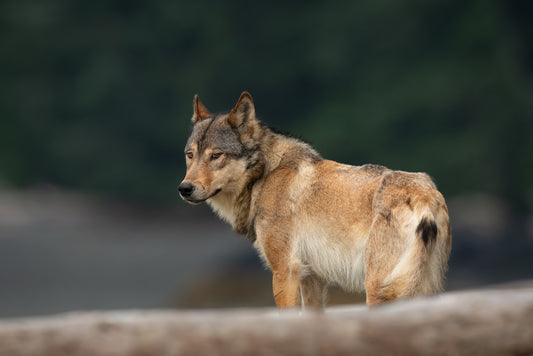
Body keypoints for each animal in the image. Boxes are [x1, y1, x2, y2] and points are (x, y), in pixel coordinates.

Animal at [178, 92, 448, 306]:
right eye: (190, 155)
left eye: (216, 156)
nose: (184, 189)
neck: (264, 176)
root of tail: (425, 195)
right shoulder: (312, 279)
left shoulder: (284, 271)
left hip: (378, 290)